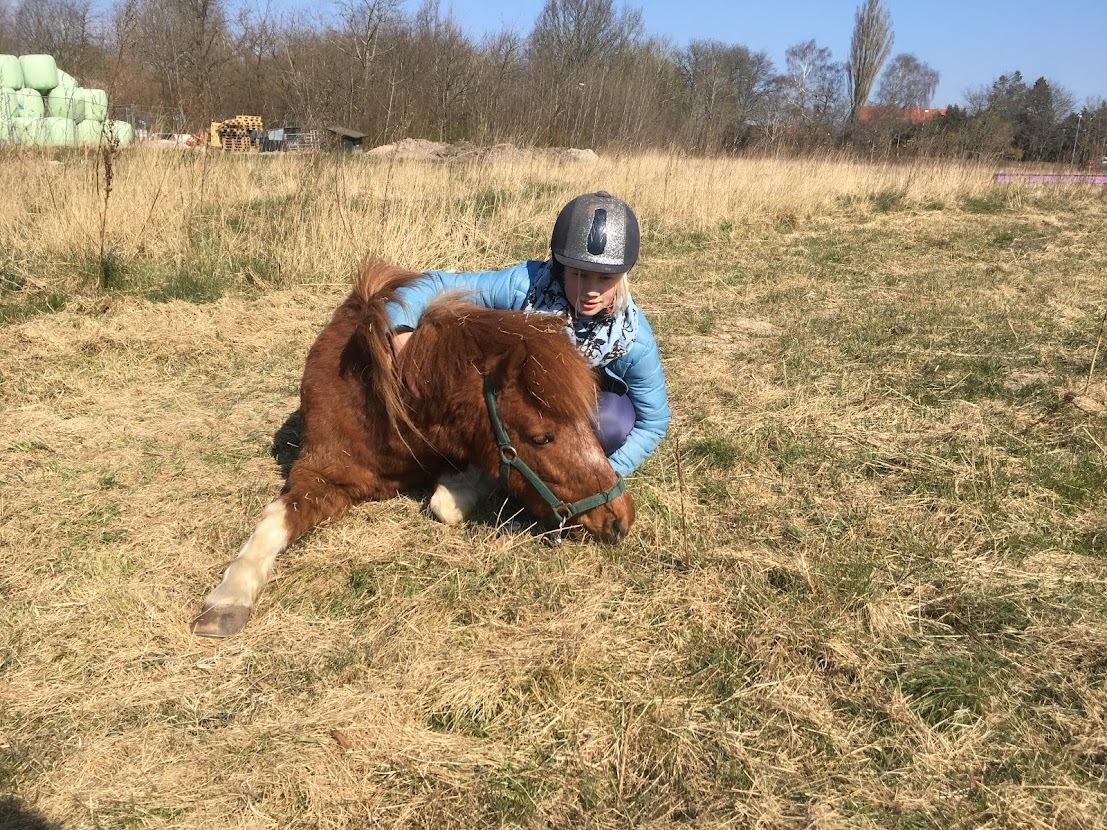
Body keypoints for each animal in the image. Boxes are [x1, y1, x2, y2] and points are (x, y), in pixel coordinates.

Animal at [194, 260, 637, 637]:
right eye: (542, 437)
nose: (620, 519)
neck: (380, 406)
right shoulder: (317, 474)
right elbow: (273, 520)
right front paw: (228, 598)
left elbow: (446, 501)